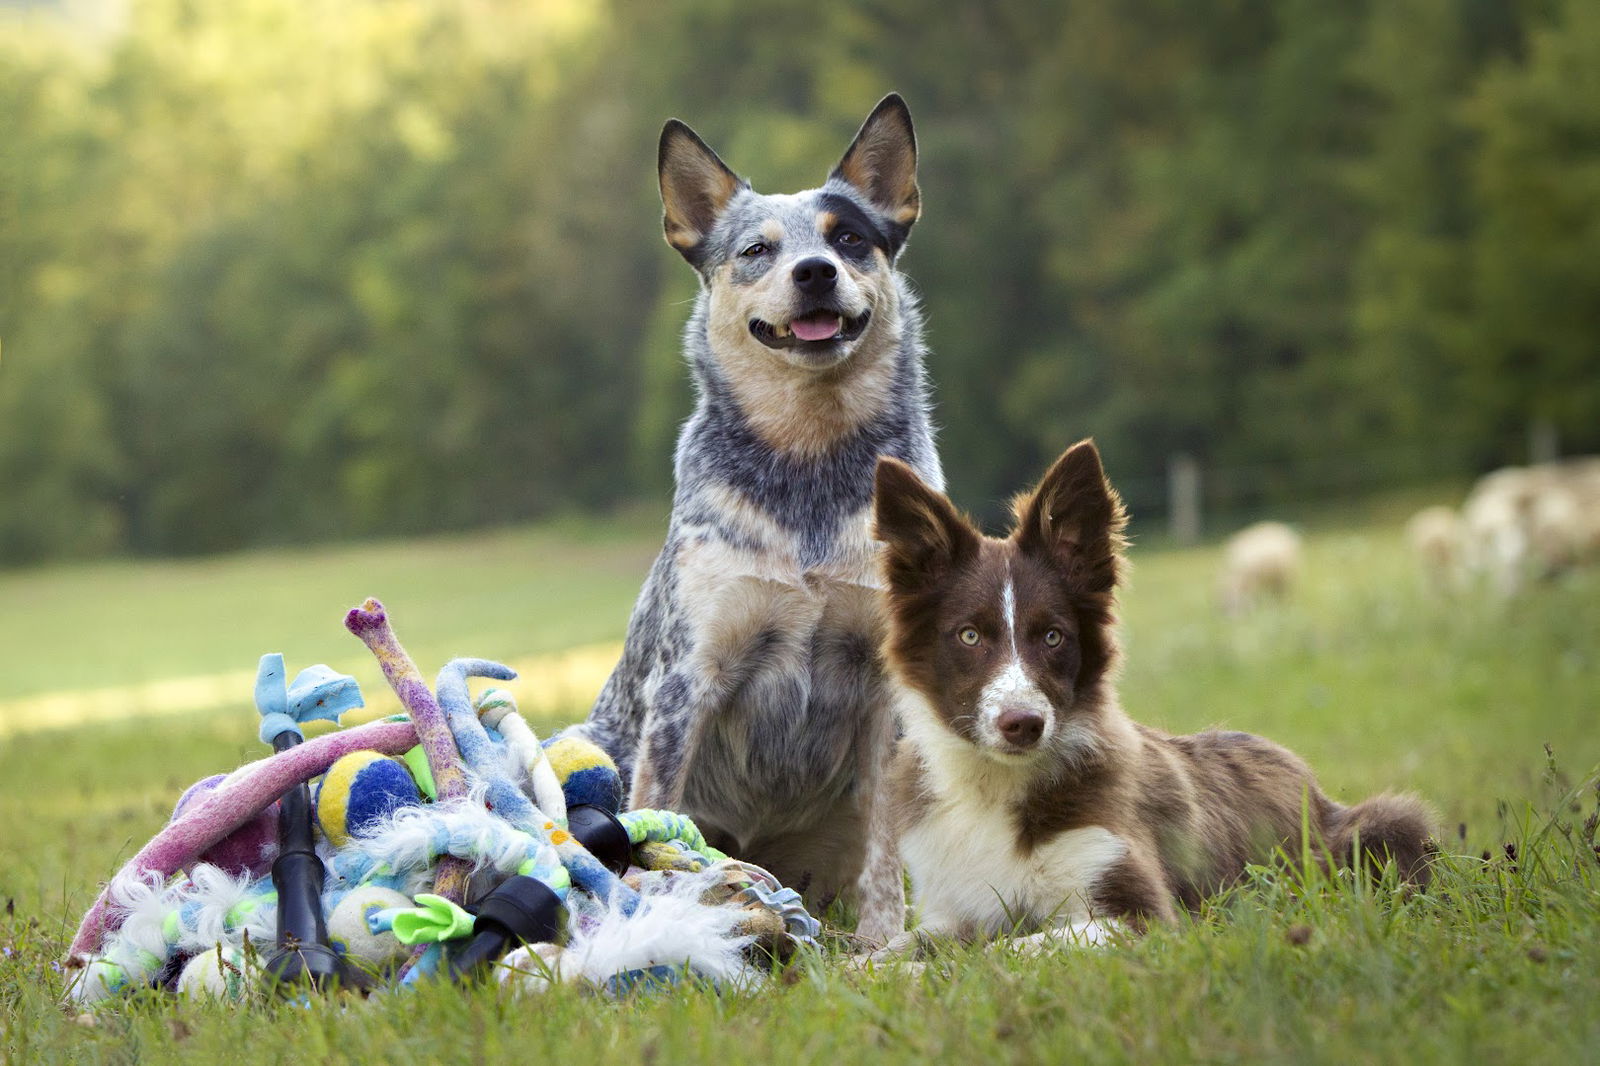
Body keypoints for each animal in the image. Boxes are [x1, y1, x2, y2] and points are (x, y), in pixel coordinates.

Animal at [576, 93, 940, 941]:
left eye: (850, 238)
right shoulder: (687, 682)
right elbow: (655, 816)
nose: (815, 271)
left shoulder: (888, 693)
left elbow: (884, 848)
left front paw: (883, 944)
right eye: (754, 250)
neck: (809, 455)